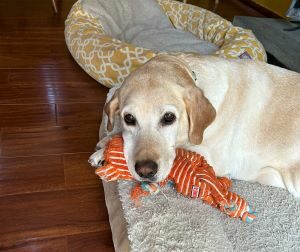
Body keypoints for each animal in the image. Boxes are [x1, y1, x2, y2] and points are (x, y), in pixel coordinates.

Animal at [89, 54, 300, 198]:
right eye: (129, 118)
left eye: (169, 117)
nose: (146, 171)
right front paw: (107, 141)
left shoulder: (212, 159)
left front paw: (103, 152)